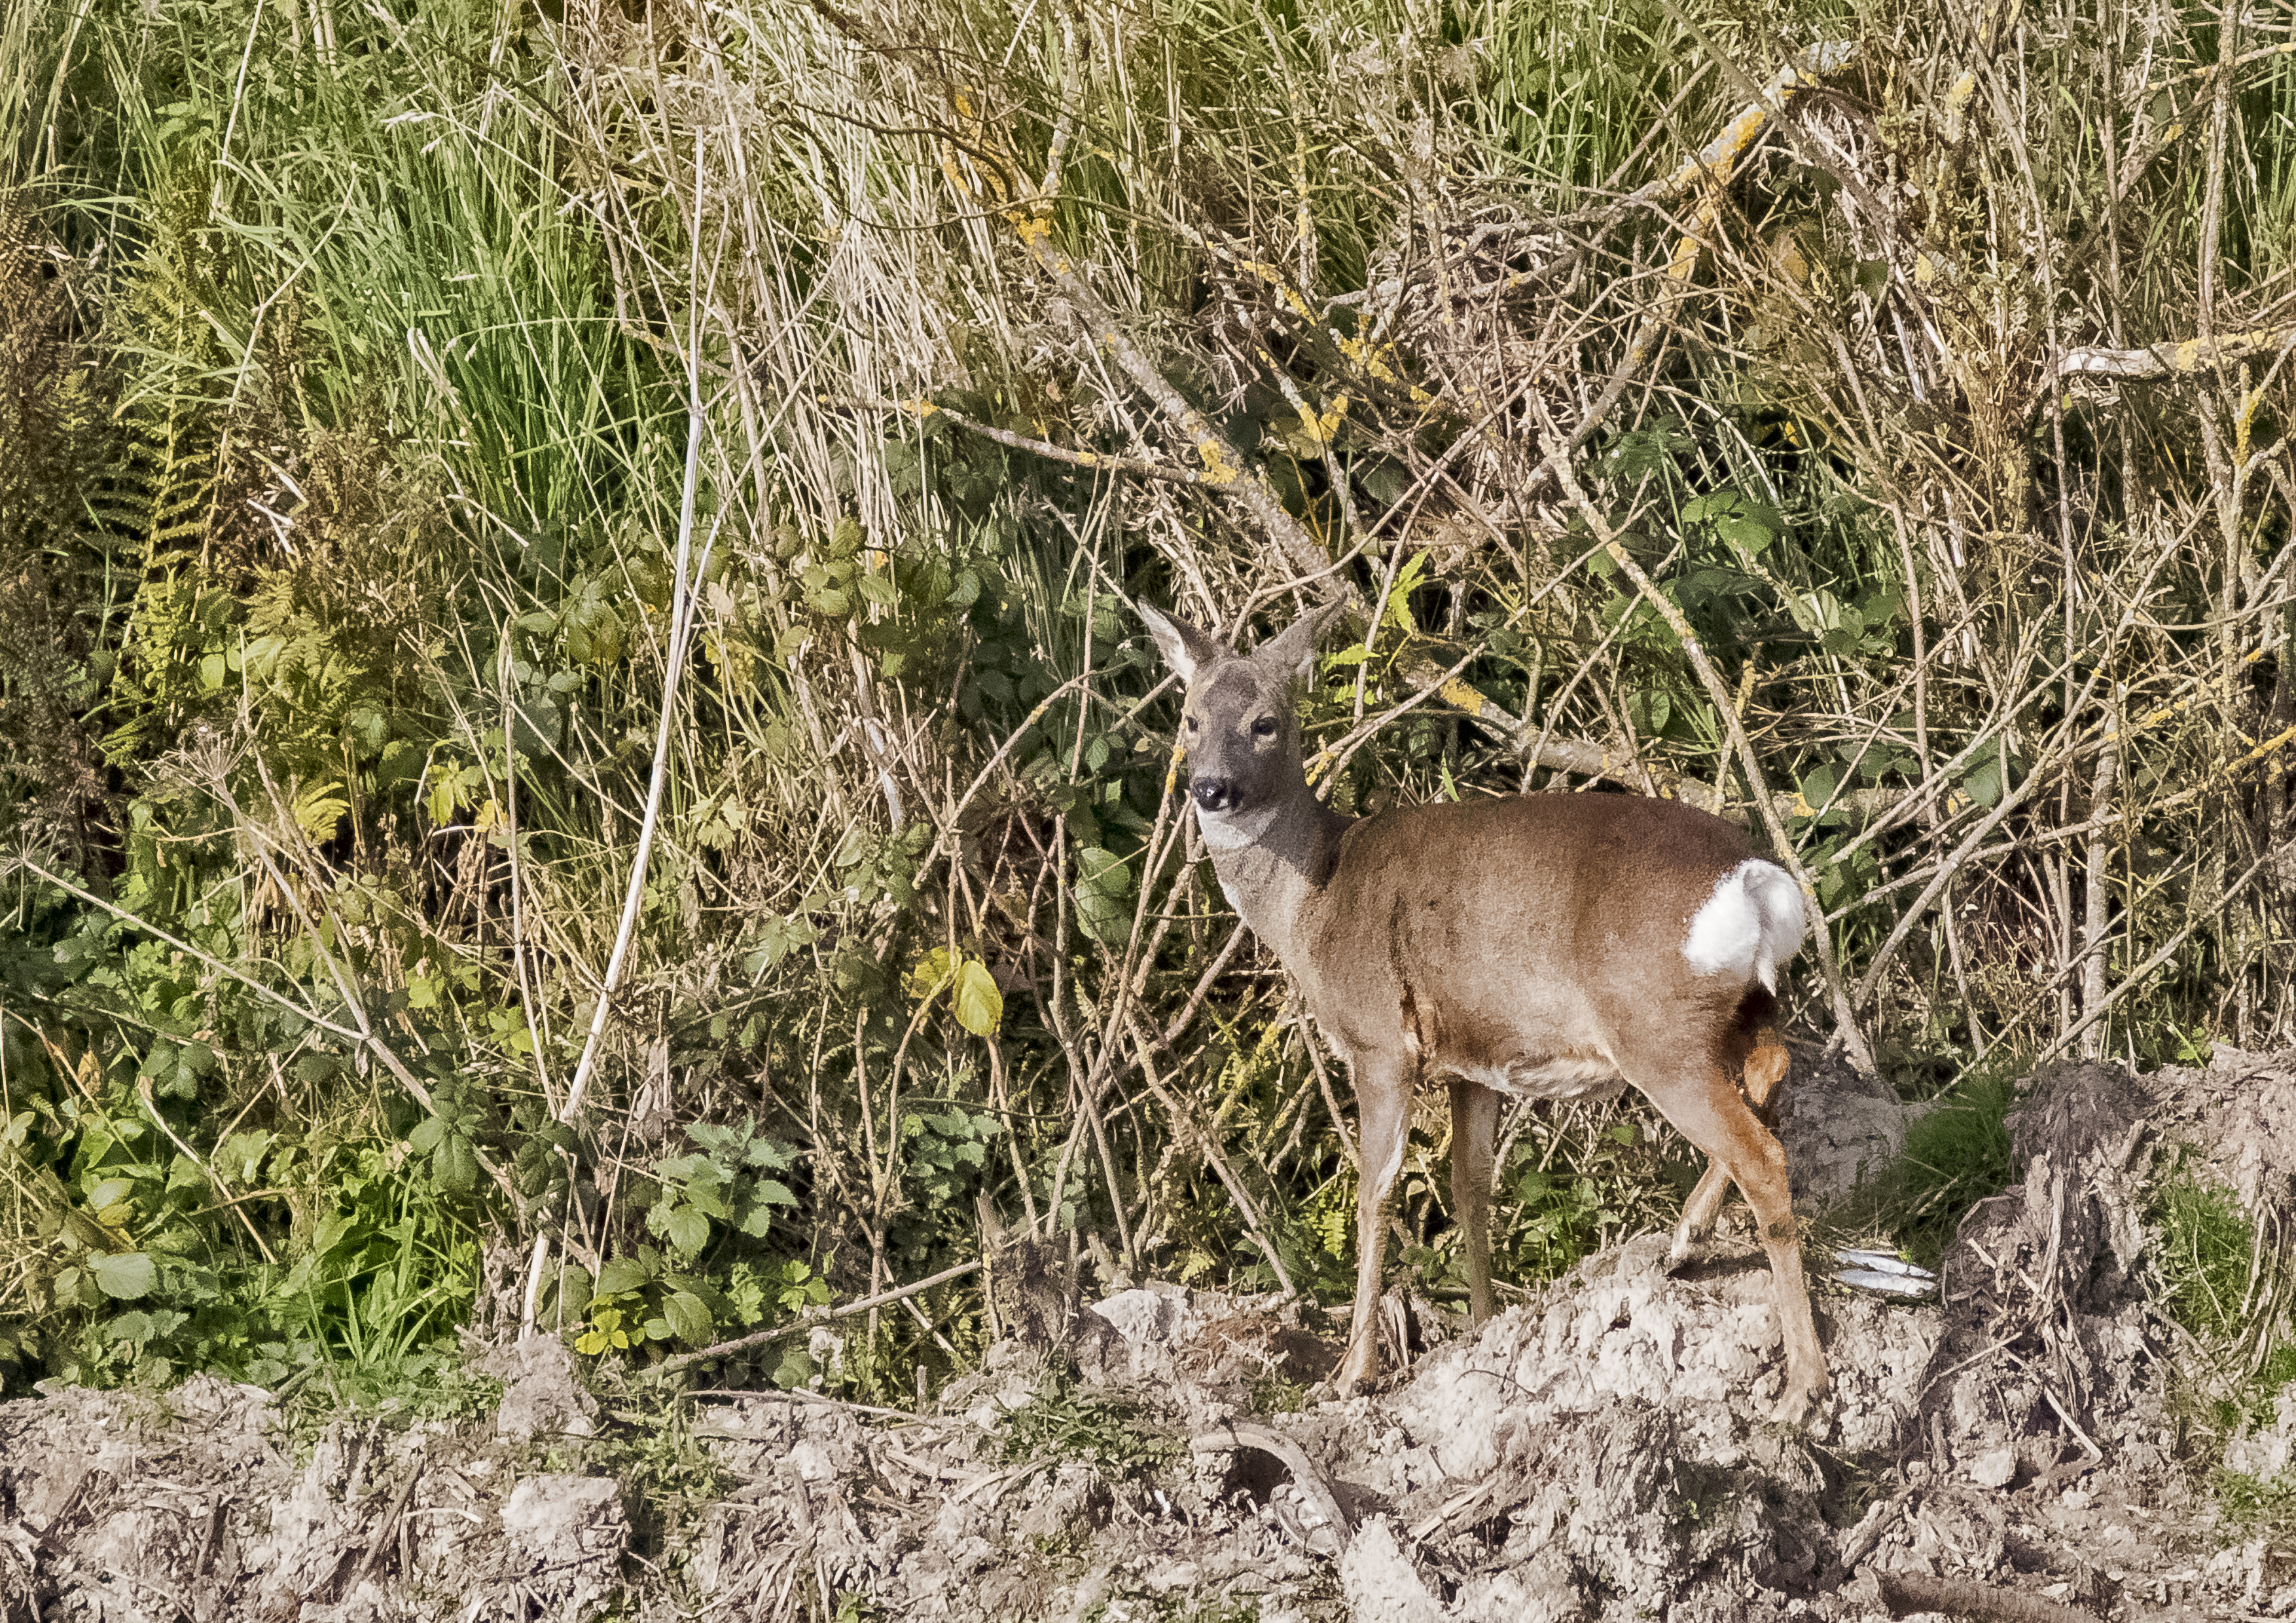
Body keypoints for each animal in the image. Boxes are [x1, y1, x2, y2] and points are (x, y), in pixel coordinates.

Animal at [1148, 597, 1827, 1423]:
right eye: (1188, 717)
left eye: (1264, 721)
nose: (1210, 788)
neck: (1311, 900)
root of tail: (1756, 880)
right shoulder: (1469, 1062)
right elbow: (1470, 1187)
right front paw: (1479, 1327)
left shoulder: (1379, 1041)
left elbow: (1375, 1190)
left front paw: (1352, 1372)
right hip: (1734, 1006)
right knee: (1774, 1066)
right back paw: (1682, 1241)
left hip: (1655, 1027)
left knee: (1762, 1153)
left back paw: (1800, 1385)